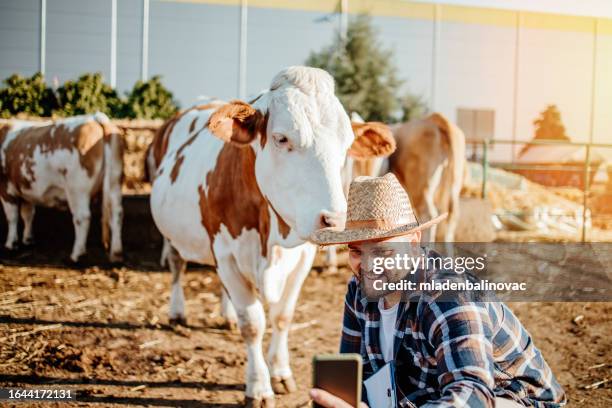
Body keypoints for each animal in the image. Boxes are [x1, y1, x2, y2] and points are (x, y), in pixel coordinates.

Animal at [0, 113, 124, 262]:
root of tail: (95, 118)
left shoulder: (6, 186)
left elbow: (12, 216)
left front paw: (10, 245)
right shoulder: (26, 188)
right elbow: (28, 214)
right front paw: (28, 239)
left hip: (77, 188)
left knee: (82, 217)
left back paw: (76, 256)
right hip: (114, 181)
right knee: (117, 213)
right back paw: (116, 254)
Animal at [148, 66, 392, 404]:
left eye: (346, 146)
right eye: (281, 138)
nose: (336, 219)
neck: (272, 238)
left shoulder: (301, 257)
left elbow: (282, 316)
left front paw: (280, 373)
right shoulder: (225, 252)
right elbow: (252, 324)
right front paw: (259, 386)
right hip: (173, 235)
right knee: (176, 264)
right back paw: (177, 312)